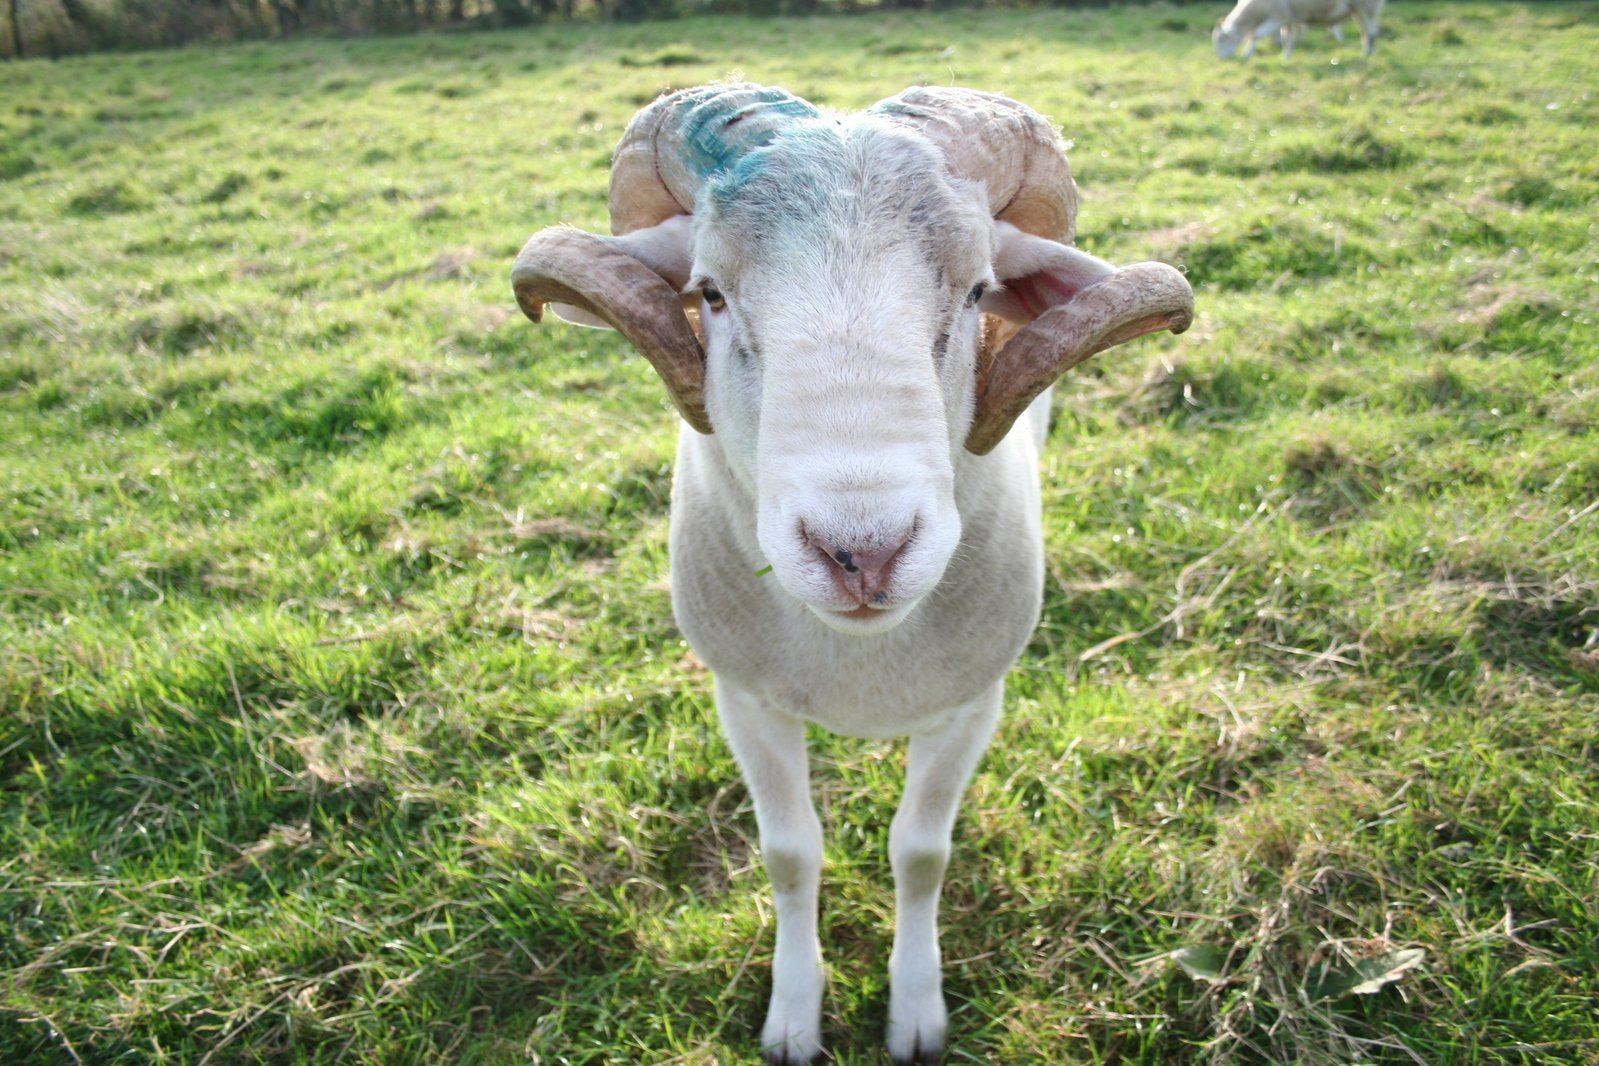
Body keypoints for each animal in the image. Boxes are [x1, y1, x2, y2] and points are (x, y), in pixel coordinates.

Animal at [505, 83, 1196, 1066]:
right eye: (708, 293)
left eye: (978, 289)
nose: (861, 551)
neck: (857, 662)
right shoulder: (744, 699)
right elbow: (790, 852)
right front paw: (794, 1015)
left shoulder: (970, 705)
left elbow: (921, 853)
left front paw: (915, 1011)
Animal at [1215, 0, 1381, 57]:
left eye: (1221, 40)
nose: (1221, 59)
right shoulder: (1287, 18)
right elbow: (1286, 38)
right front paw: (1286, 56)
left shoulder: (1279, 17)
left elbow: (1255, 35)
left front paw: (1247, 55)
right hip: (1357, 10)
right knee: (1365, 31)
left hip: (1366, 7)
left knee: (1371, 32)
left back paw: (1367, 53)